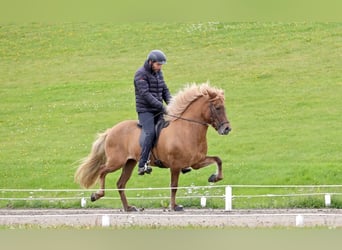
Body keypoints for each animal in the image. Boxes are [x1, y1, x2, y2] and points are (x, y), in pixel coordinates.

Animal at [73, 82, 231, 211]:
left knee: (120, 184)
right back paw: (97, 195)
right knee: (102, 171)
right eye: (217, 108)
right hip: (116, 162)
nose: (227, 129)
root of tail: (111, 130)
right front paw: (174, 206)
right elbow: (174, 186)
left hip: (130, 163)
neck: (187, 129)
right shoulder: (175, 165)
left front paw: (214, 178)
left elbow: (218, 160)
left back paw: (128, 208)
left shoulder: (196, 162)